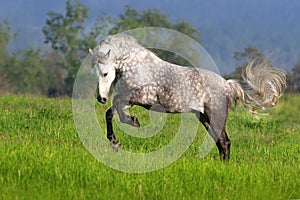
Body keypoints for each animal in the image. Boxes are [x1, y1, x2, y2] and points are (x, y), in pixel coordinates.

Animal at [88, 32, 288, 161]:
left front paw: (133, 123)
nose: (101, 98)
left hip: (215, 116)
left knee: (225, 142)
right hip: (205, 118)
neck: (135, 66)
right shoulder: (128, 101)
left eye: (105, 73)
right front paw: (115, 142)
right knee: (221, 142)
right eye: (95, 73)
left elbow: (117, 106)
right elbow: (110, 112)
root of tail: (227, 85)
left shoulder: (143, 97)